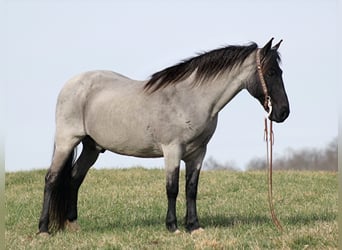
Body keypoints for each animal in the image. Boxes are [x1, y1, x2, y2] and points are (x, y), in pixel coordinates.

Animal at [38, 38, 288, 235]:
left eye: (280, 72)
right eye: (271, 72)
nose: (283, 112)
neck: (190, 99)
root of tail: (72, 84)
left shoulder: (198, 153)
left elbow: (191, 189)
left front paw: (194, 226)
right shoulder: (172, 150)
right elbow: (172, 188)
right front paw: (173, 226)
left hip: (92, 147)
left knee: (75, 177)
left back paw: (73, 225)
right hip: (67, 142)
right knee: (52, 179)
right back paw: (43, 229)